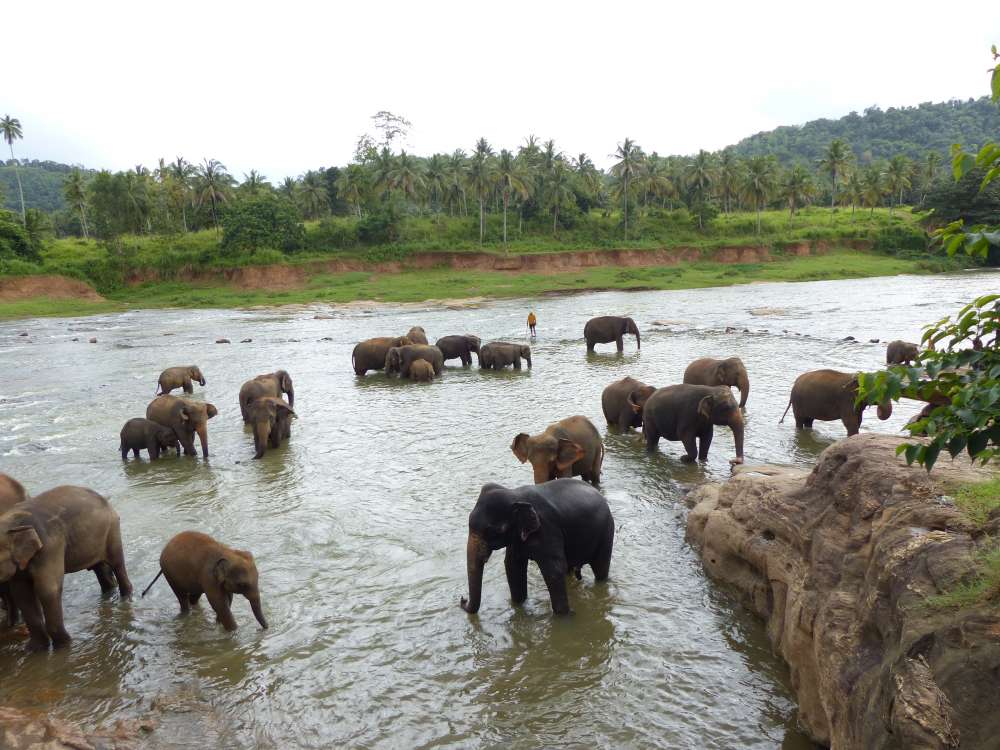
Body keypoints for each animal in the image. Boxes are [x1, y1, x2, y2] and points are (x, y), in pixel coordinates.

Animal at [0, 488, 133, 652]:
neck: (12, 521)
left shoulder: (50, 547)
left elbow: (48, 590)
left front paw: (64, 645)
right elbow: (22, 594)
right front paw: (34, 649)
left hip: (112, 529)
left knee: (117, 564)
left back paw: (126, 597)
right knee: (101, 570)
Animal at [458, 482, 612, 616]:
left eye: (493, 532)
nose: (463, 599)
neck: (515, 495)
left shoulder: (547, 528)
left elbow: (554, 570)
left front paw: (565, 617)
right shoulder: (517, 537)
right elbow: (512, 566)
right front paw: (518, 604)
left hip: (607, 531)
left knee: (600, 568)